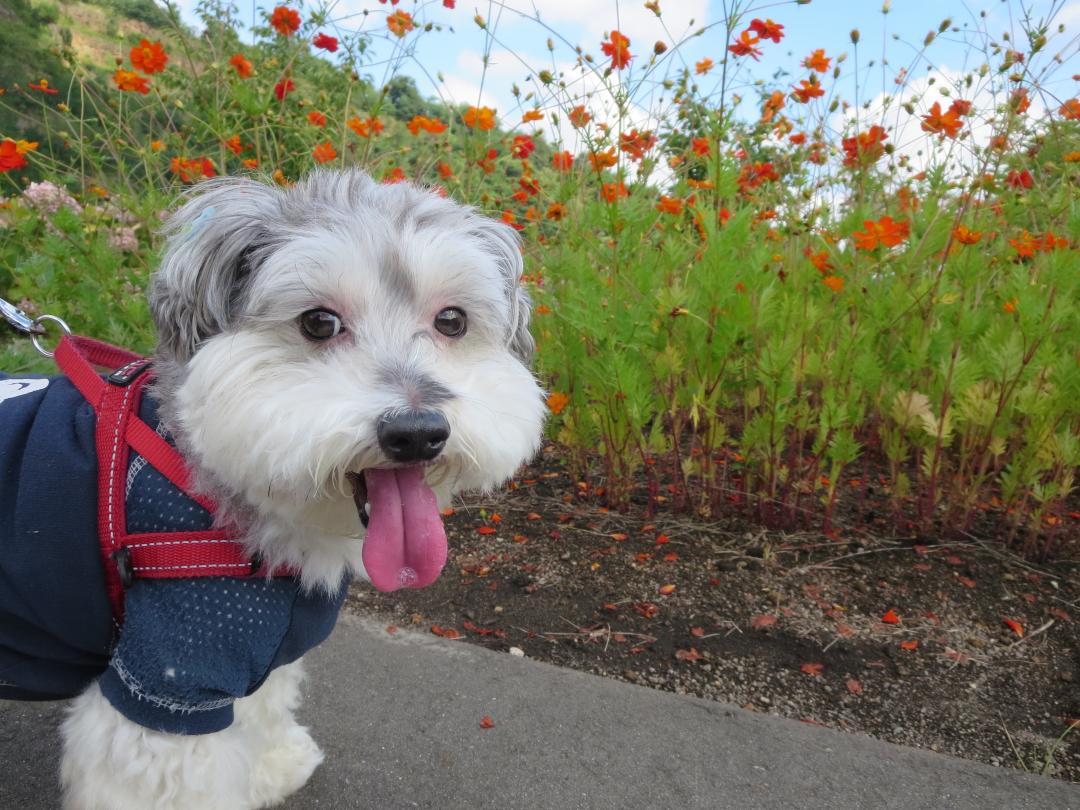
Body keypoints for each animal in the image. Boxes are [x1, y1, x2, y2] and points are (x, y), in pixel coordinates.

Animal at [0, 168, 548, 807]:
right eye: (319, 322)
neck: (208, 479)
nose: (417, 434)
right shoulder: (173, 676)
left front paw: (270, 769)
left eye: (452, 321)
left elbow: (259, 711)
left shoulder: (253, 653)